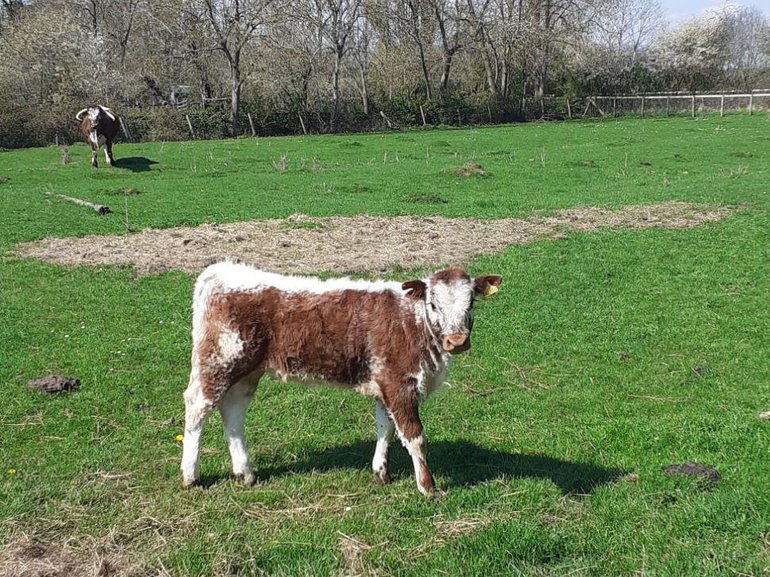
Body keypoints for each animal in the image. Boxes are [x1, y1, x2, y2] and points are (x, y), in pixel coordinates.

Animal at [182, 262, 504, 496]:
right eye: (434, 304)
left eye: (471, 302)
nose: (457, 341)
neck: (411, 322)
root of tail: (220, 270)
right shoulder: (400, 384)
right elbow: (414, 436)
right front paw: (427, 486)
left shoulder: (384, 383)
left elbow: (385, 428)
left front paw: (380, 471)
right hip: (218, 362)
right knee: (197, 408)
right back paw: (190, 475)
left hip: (246, 372)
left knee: (233, 413)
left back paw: (245, 473)